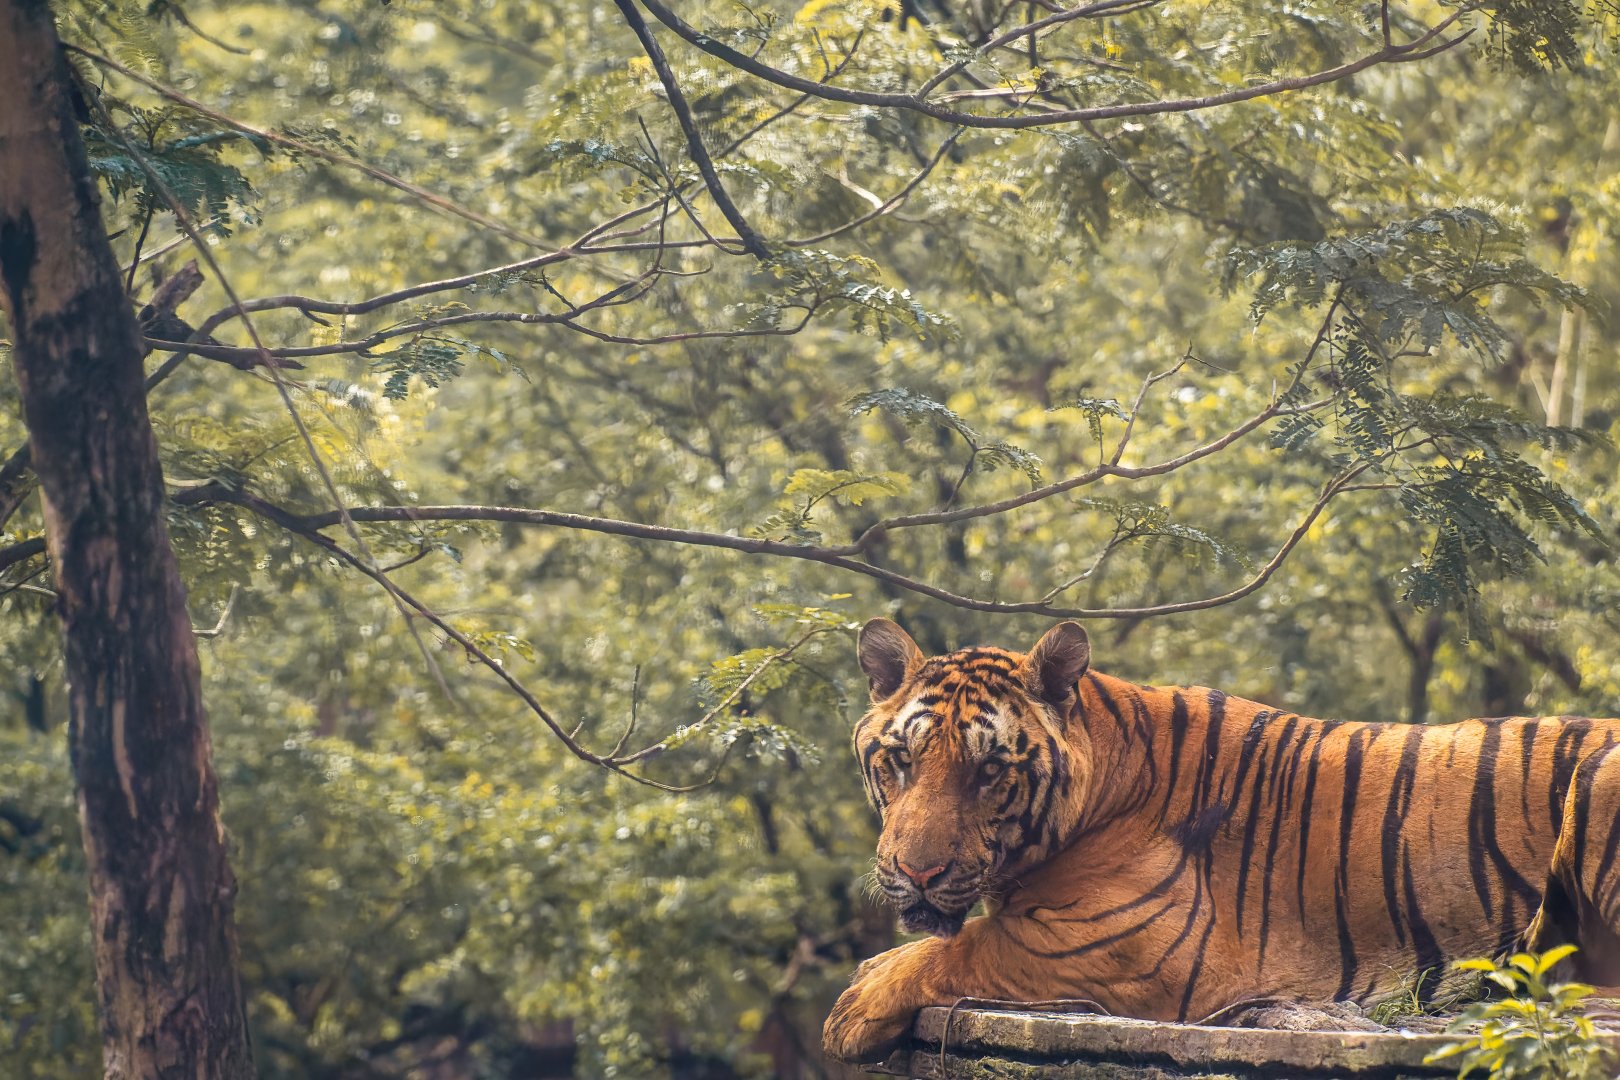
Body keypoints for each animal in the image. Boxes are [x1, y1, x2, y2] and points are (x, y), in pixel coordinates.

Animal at [822, 618, 1620, 1063]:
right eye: (900, 761)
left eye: (989, 770)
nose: (917, 873)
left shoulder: (1121, 946)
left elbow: (963, 947)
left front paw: (856, 1006)